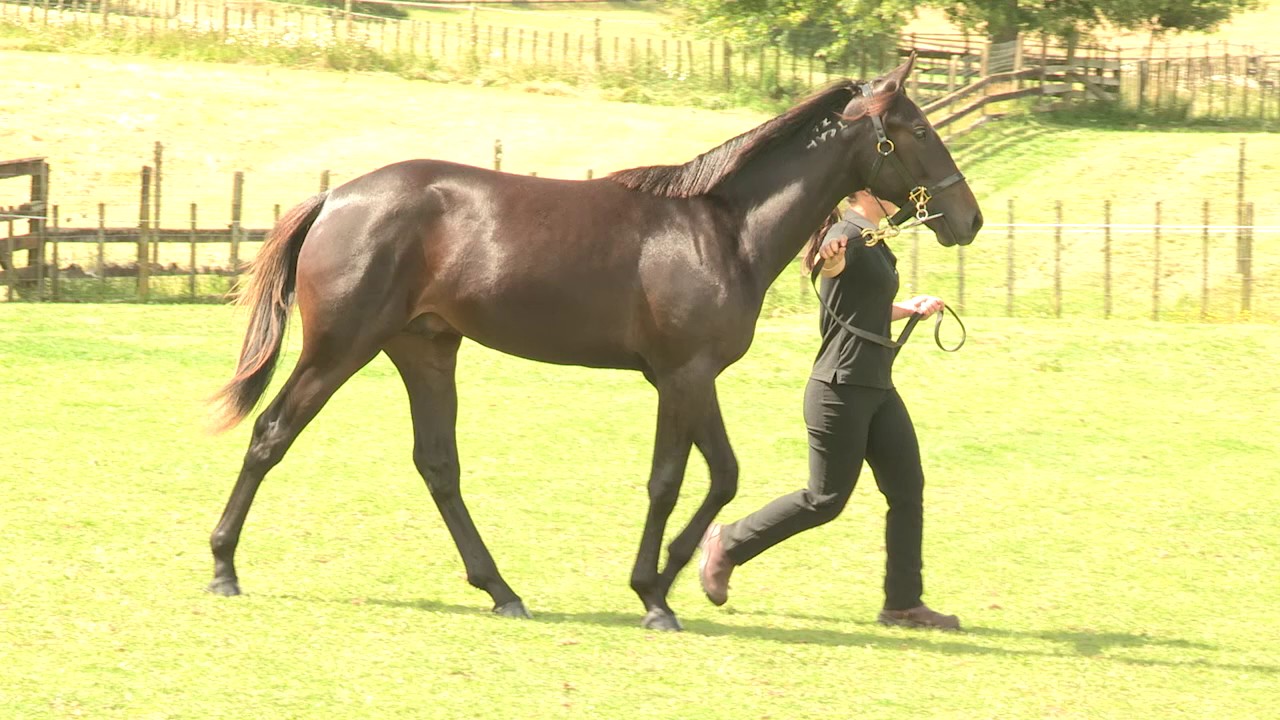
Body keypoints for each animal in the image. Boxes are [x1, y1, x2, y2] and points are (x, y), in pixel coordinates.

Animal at [206, 54, 983, 631]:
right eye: (917, 128)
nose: (968, 218)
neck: (722, 230)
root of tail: (334, 199)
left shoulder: (691, 379)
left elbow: (722, 476)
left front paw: (673, 580)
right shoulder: (683, 376)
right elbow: (672, 479)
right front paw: (654, 594)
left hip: (424, 350)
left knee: (437, 466)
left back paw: (502, 590)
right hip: (341, 348)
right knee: (271, 435)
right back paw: (223, 567)